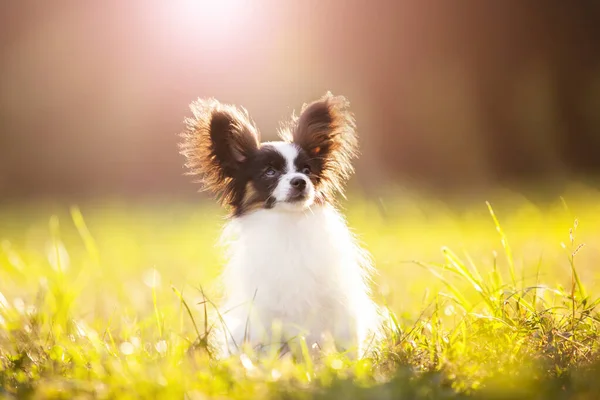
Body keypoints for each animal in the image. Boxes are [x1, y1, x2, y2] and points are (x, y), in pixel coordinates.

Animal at [180, 91, 382, 360]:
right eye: (269, 172)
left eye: (307, 170)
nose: (300, 181)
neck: (288, 224)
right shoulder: (266, 311)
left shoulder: (337, 304)